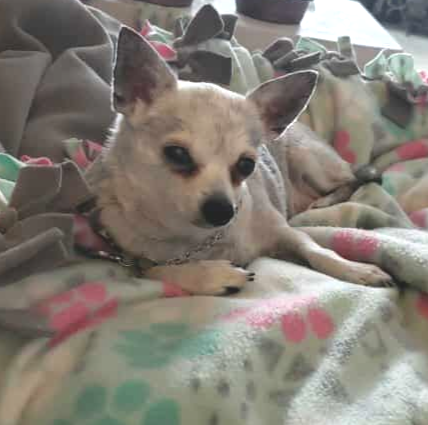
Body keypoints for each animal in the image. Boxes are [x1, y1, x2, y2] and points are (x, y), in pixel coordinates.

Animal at [86, 26, 393, 295]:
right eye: (177, 154)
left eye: (246, 165)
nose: (222, 210)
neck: (195, 239)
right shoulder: (135, 260)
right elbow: (158, 270)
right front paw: (212, 275)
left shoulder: (286, 233)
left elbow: (316, 250)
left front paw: (355, 269)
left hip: (310, 160)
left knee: (351, 180)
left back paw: (326, 200)